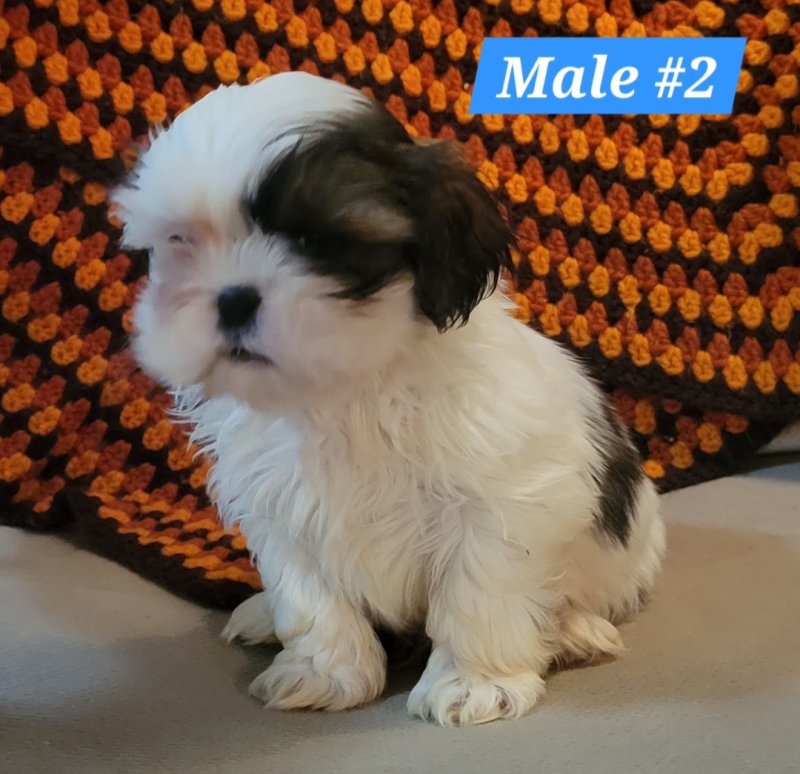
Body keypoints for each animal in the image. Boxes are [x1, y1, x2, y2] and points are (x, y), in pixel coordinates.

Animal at [112, 72, 665, 726]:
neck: (348, 390)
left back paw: (575, 630)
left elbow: (483, 589)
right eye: (182, 243)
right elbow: (309, 595)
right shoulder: (281, 508)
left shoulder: (507, 501)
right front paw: (323, 671)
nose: (232, 298)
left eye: (317, 240)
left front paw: (475, 681)